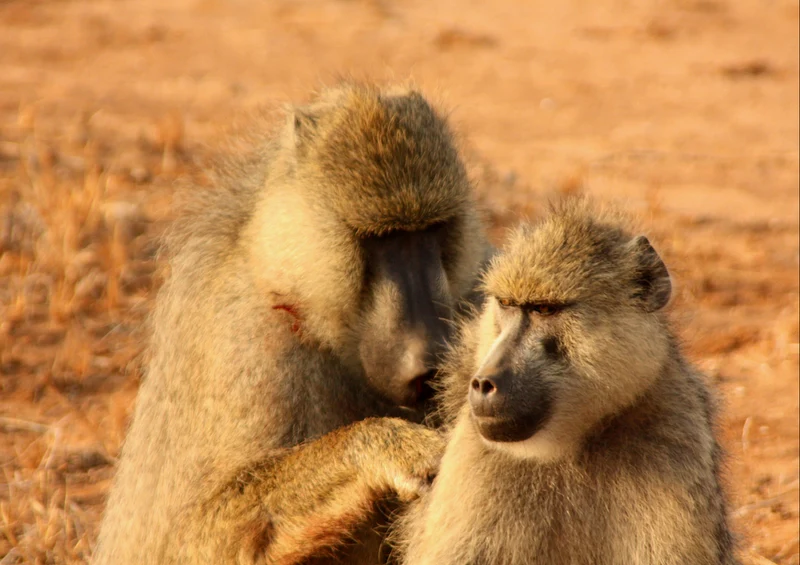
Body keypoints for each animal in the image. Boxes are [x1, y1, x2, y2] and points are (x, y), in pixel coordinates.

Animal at [92, 83, 490, 565]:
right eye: (381, 240)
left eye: (430, 232)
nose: (430, 359)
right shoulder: (245, 338)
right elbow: (193, 537)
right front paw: (384, 447)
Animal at [392, 199, 740, 565]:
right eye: (507, 304)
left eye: (545, 309)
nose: (484, 382)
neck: (572, 444)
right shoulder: (474, 453)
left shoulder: (674, 431)